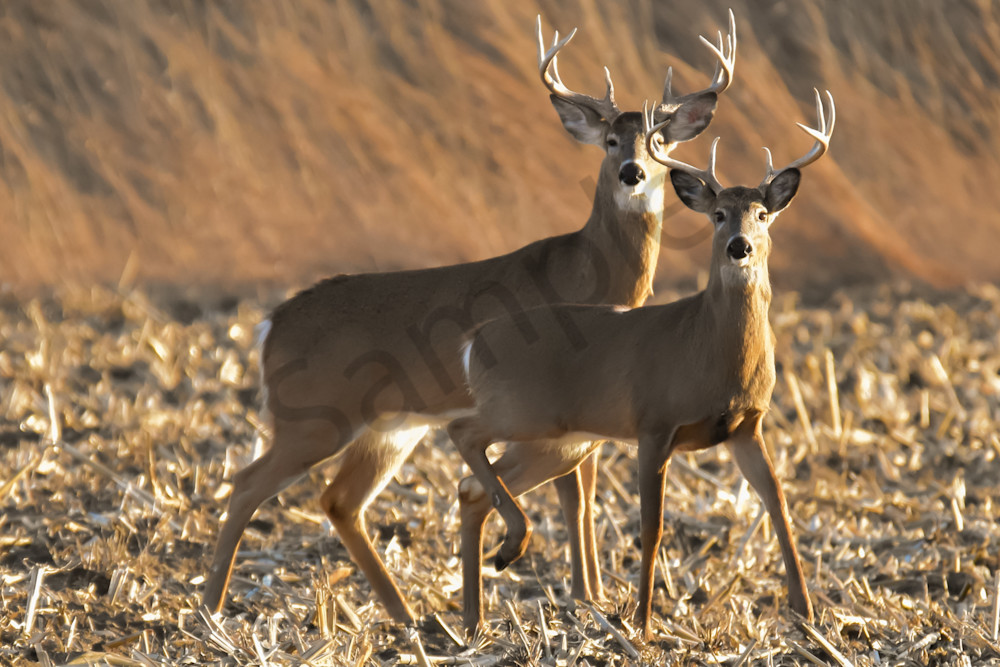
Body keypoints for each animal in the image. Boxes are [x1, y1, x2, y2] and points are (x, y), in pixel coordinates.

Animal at [201, 14, 738, 626]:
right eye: (609, 140)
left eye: (660, 142)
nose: (631, 172)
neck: (588, 267)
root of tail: (270, 325)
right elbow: (575, 494)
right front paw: (585, 598)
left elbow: (583, 493)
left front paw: (593, 598)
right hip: (314, 415)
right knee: (246, 484)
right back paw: (210, 612)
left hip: (389, 427)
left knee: (338, 500)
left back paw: (405, 616)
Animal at [447, 90, 834, 639]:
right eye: (718, 214)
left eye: (762, 214)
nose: (739, 247)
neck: (709, 353)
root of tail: (474, 341)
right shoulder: (654, 423)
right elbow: (651, 528)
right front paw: (643, 620)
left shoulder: (746, 427)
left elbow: (779, 506)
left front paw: (806, 613)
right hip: (521, 410)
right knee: (463, 433)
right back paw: (510, 553)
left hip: (558, 441)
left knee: (472, 490)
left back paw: (478, 613)